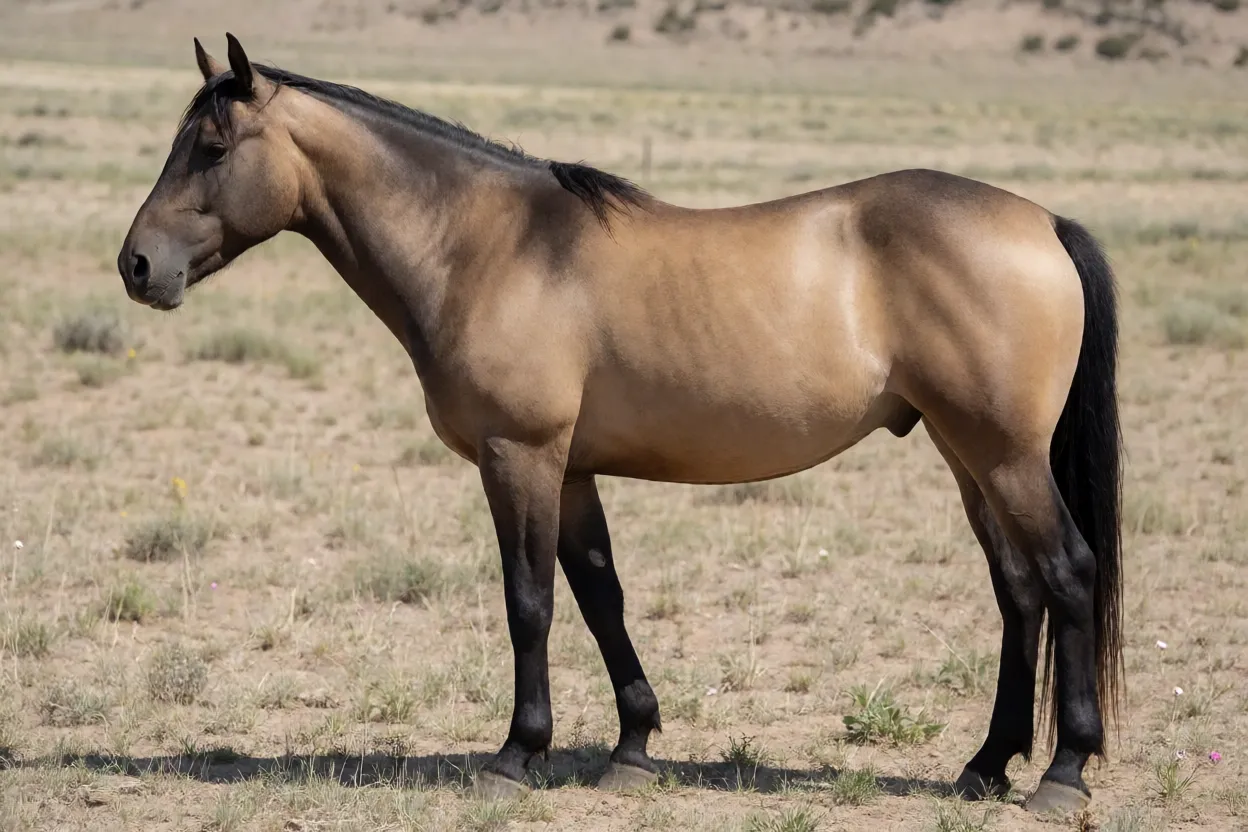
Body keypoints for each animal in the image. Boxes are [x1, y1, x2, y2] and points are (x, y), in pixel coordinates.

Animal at [117, 34, 1125, 814]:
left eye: (212, 147)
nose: (137, 265)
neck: (488, 246)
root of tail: (1042, 220)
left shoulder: (517, 458)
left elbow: (529, 602)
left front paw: (515, 755)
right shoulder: (569, 471)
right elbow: (601, 595)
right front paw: (632, 748)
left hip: (1004, 456)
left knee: (1069, 575)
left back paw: (1063, 771)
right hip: (968, 455)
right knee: (1019, 592)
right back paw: (986, 766)